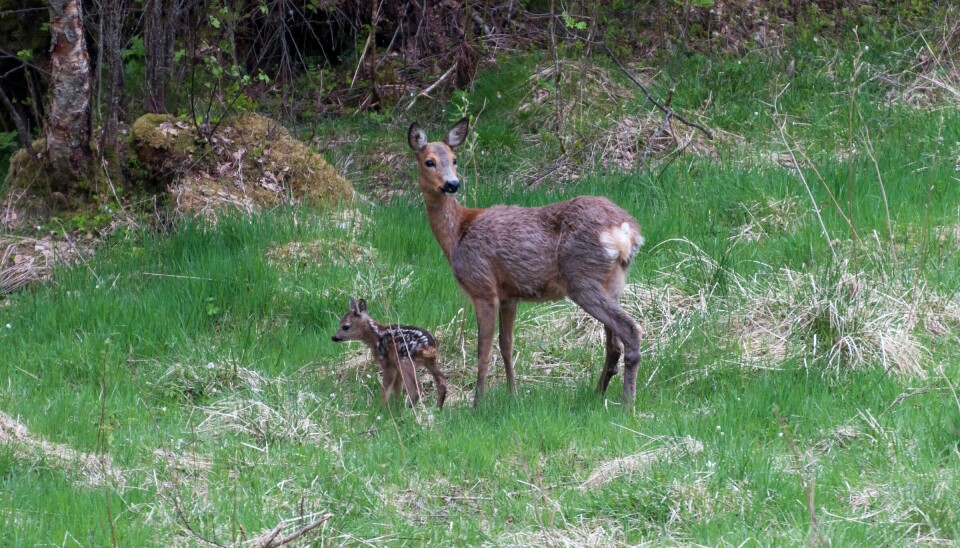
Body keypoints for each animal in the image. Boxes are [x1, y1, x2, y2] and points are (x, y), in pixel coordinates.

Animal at [406, 116, 644, 406]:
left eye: (454, 159)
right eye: (429, 161)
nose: (452, 184)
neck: (457, 234)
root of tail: (626, 231)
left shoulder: (482, 286)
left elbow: (483, 349)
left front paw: (477, 403)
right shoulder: (510, 295)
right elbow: (506, 345)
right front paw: (513, 395)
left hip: (581, 278)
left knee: (629, 330)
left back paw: (628, 402)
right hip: (613, 281)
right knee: (614, 343)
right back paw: (598, 392)